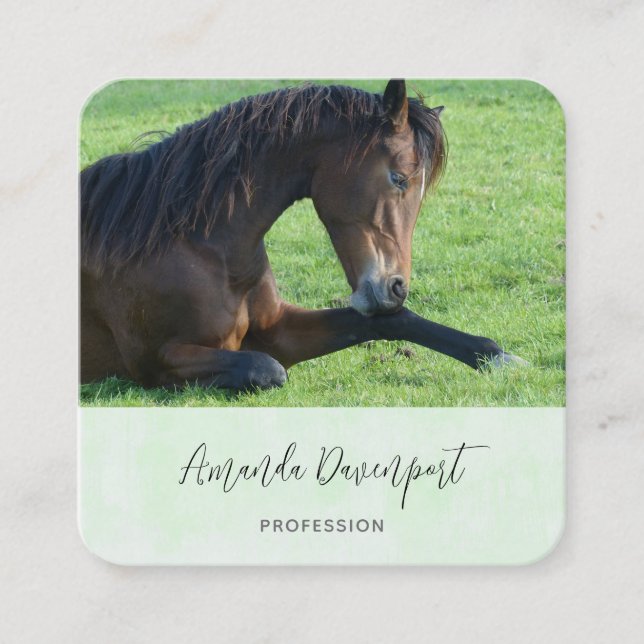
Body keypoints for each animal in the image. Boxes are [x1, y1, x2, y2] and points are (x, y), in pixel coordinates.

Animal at [80, 79, 523, 391]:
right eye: (399, 178)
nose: (396, 287)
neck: (198, 244)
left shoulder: (278, 329)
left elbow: (392, 321)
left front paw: (498, 357)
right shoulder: (156, 360)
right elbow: (267, 370)